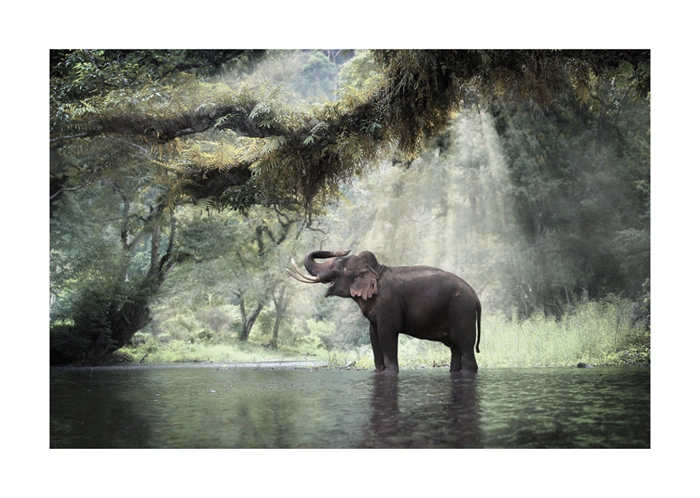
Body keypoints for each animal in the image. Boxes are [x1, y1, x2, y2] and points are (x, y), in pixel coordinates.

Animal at [287, 249, 481, 374]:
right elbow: (373, 333)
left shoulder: (389, 302)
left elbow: (387, 332)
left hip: (462, 310)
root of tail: (475, 296)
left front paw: (390, 373)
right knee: (455, 348)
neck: (376, 270)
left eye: (338, 267)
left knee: (465, 345)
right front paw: (377, 372)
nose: (343, 249)